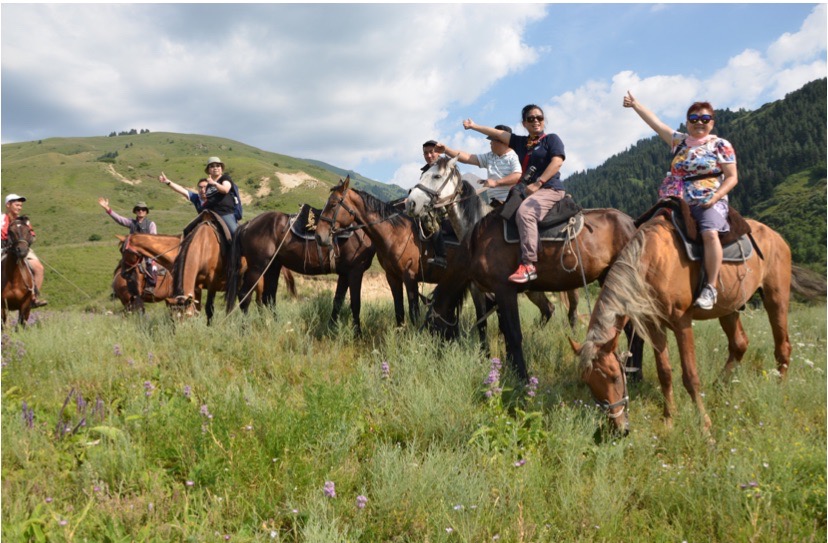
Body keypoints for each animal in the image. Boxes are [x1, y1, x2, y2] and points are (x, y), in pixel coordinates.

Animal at [226, 209, 378, 332]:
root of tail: (248, 224)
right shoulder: (355, 272)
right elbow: (355, 304)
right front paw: (357, 334)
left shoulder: (344, 274)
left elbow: (338, 301)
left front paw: (331, 329)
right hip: (257, 268)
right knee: (245, 296)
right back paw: (246, 330)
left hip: (272, 267)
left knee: (268, 298)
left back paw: (276, 326)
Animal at [572, 215, 792, 436]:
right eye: (588, 382)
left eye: (615, 377)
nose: (618, 429)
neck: (653, 261)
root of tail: (777, 237)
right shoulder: (654, 326)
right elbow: (665, 373)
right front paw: (669, 418)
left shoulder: (682, 323)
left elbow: (690, 376)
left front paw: (704, 424)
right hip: (729, 309)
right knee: (739, 344)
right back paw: (719, 386)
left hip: (776, 300)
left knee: (783, 347)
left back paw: (779, 389)